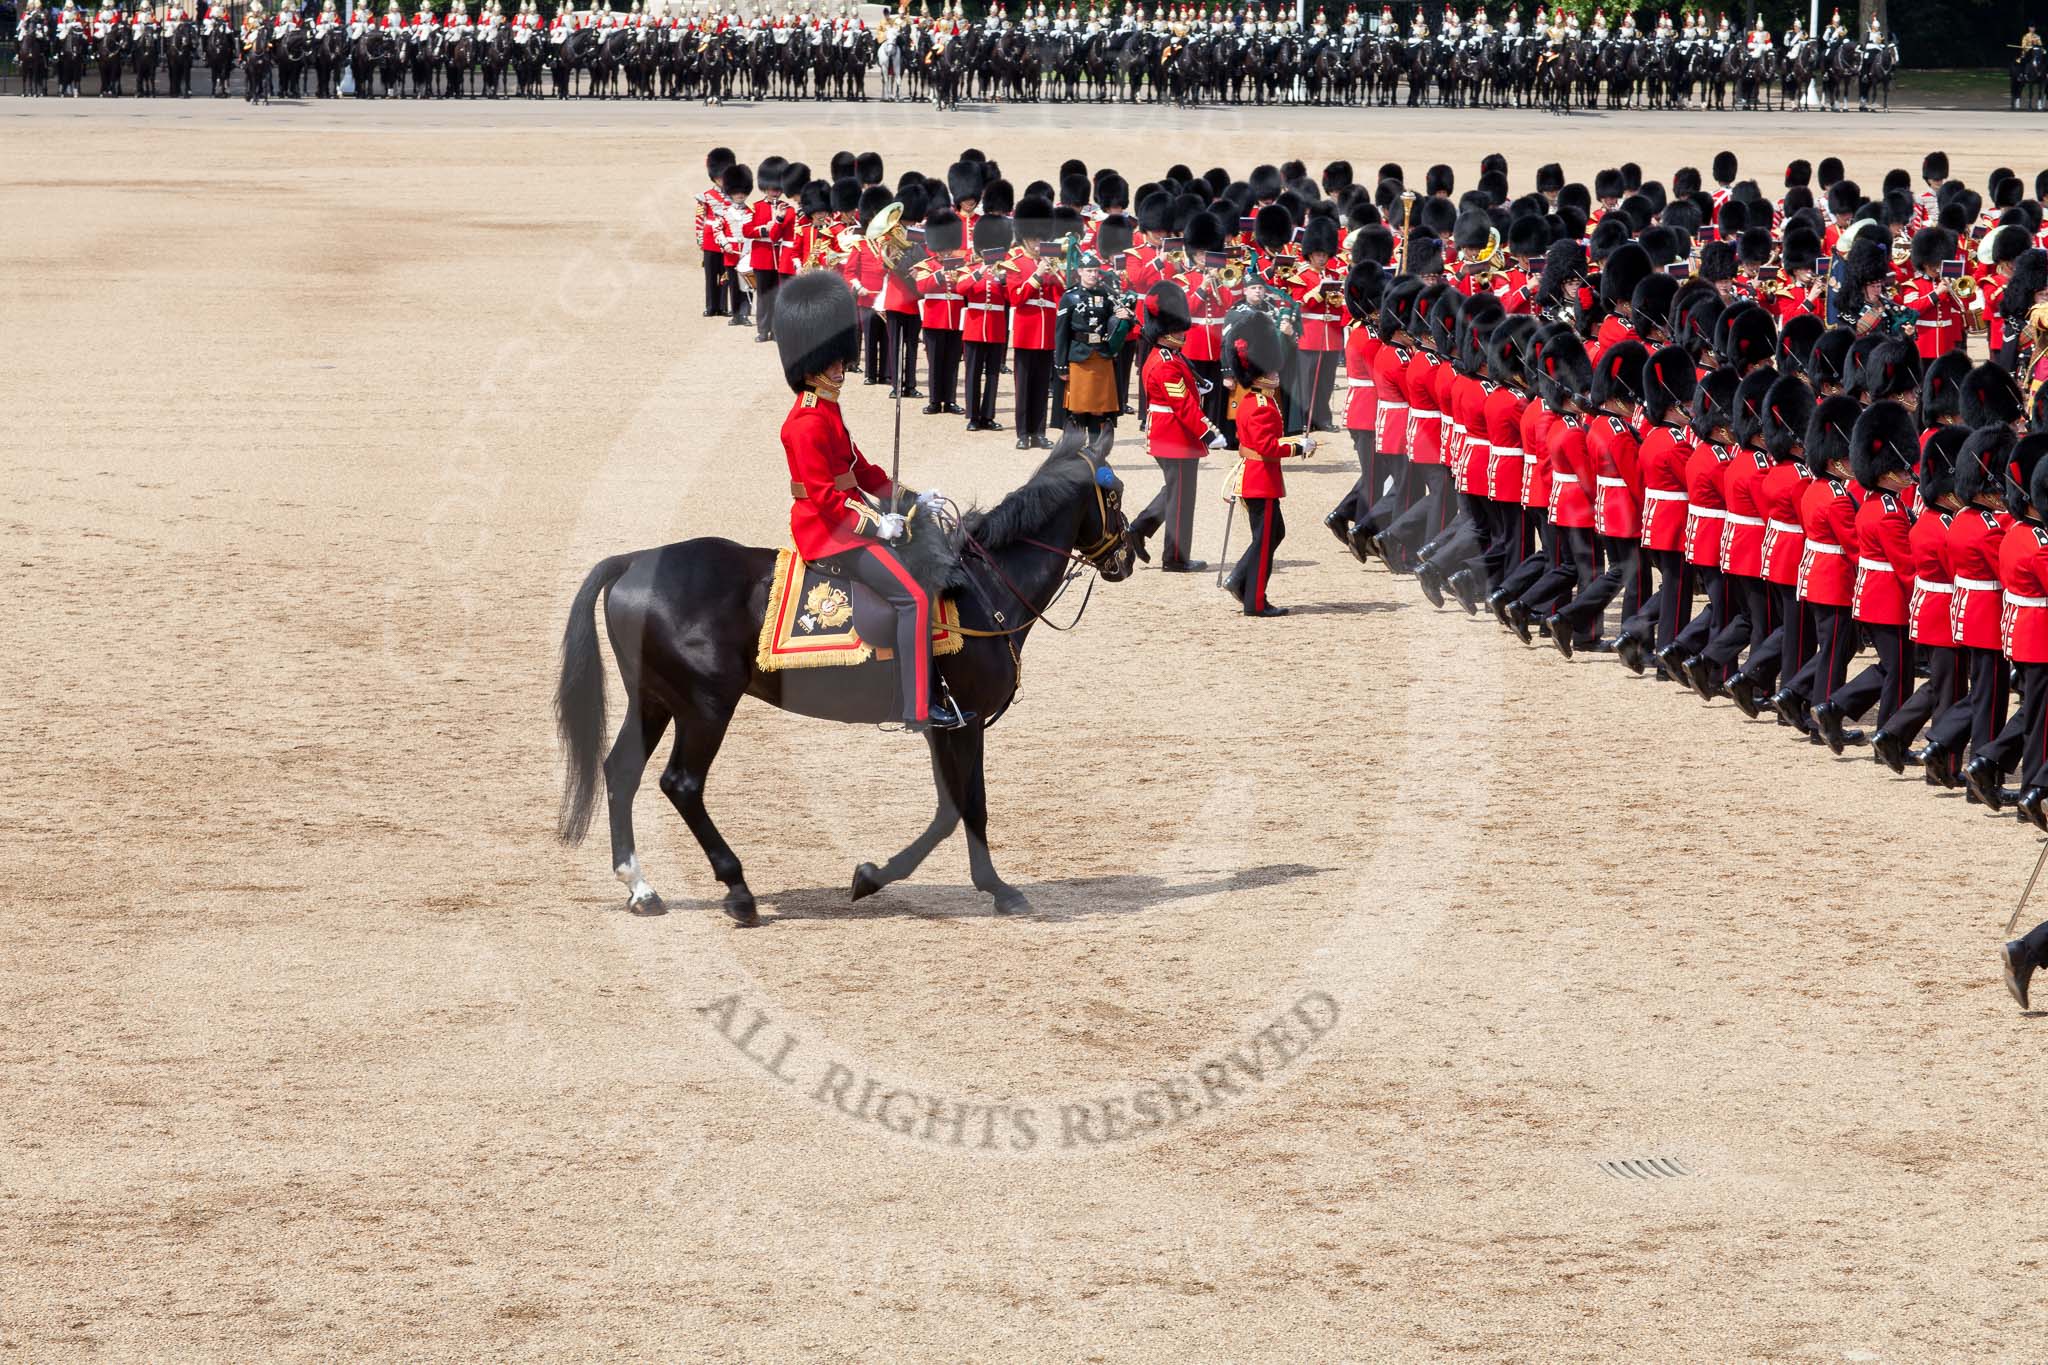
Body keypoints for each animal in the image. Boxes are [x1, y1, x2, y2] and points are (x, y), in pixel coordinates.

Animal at [557, 437, 1138, 929]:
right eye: (1114, 492)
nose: (1131, 555)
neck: (985, 590)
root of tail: (636, 561)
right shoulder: (964, 721)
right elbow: (963, 808)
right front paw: (912, 880)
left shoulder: (942, 723)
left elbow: (956, 806)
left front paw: (914, 878)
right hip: (706, 706)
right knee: (681, 783)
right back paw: (738, 891)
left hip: (655, 699)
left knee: (622, 771)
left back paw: (640, 888)